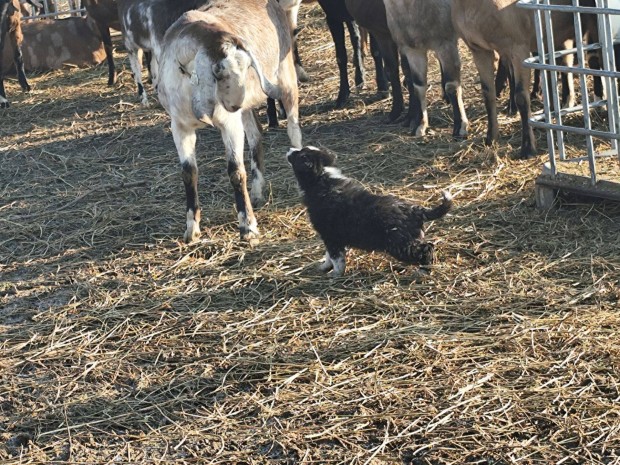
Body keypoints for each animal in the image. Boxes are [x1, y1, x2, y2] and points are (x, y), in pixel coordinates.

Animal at [157, 0, 302, 245]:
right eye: (218, 72)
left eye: (247, 67)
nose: (235, 104)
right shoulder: (179, 126)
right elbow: (188, 173)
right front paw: (192, 229)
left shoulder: (229, 124)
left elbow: (236, 171)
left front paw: (248, 228)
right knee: (256, 136)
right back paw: (257, 192)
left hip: (286, 76)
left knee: (294, 131)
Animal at [288, 145, 452, 276]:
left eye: (300, 155)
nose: (290, 149)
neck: (322, 179)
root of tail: (414, 210)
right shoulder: (330, 237)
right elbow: (328, 255)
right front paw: (324, 267)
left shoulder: (331, 236)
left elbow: (337, 258)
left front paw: (335, 274)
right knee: (429, 245)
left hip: (401, 245)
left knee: (426, 249)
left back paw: (423, 271)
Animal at [382, 0, 470, 138]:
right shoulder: (413, 50)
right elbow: (418, 87)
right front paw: (420, 126)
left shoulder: (446, 43)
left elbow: (451, 86)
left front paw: (460, 126)